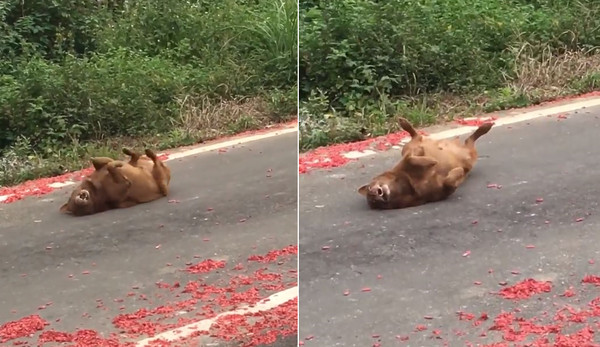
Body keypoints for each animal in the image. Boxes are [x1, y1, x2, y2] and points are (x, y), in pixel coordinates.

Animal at [356, 117, 492, 209]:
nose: (374, 193)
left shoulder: (408, 157)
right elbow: (449, 182)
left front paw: (430, 161)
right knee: (469, 141)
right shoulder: (441, 191)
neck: (407, 184)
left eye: (369, 188)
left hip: (408, 146)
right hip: (470, 157)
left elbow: (412, 157)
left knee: (416, 135)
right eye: (374, 202)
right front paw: (457, 172)